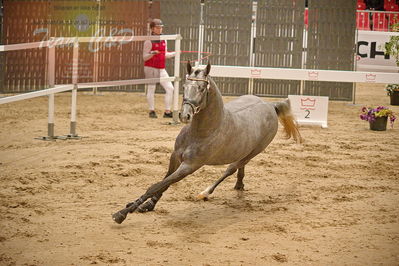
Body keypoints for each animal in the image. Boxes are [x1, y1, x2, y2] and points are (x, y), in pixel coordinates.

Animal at [111, 61, 302, 223]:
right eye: (185, 86)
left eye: (202, 88)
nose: (185, 115)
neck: (201, 132)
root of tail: (270, 105)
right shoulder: (175, 157)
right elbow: (163, 182)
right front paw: (146, 205)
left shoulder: (190, 166)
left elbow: (157, 185)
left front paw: (122, 214)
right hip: (244, 151)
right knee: (239, 169)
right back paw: (239, 185)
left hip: (254, 152)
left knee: (231, 169)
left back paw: (205, 193)